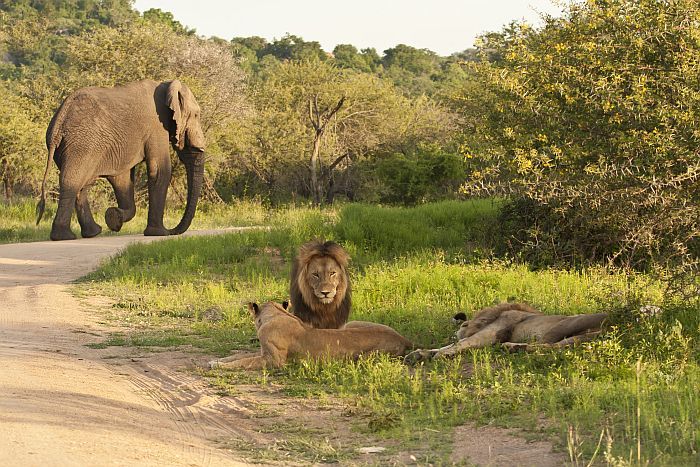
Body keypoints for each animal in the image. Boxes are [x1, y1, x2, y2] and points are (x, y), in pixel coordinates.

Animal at [35, 79, 206, 241]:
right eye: (196, 115)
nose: (173, 231)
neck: (166, 85)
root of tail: (59, 120)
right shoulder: (156, 126)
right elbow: (159, 171)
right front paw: (159, 234)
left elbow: (122, 179)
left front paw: (113, 217)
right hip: (82, 144)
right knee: (72, 181)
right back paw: (64, 237)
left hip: (72, 147)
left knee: (81, 184)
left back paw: (92, 233)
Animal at [209, 301, 413, 370]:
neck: (277, 314)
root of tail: (404, 338)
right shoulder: (262, 352)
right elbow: (240, 355)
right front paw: (216, 361)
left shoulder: (273, 360)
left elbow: (244, 361)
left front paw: (219, 366)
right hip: (350, 324)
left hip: (364, 357)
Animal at [405, 303, 607, 363]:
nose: (460, 330)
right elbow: (447, 345)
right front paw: (417, 354)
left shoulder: (491, 333)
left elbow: (458, 344)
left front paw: (441, 355)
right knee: (550, 347)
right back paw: (513, 348)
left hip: (568, 323)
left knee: (546, 347)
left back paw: (512, 347)